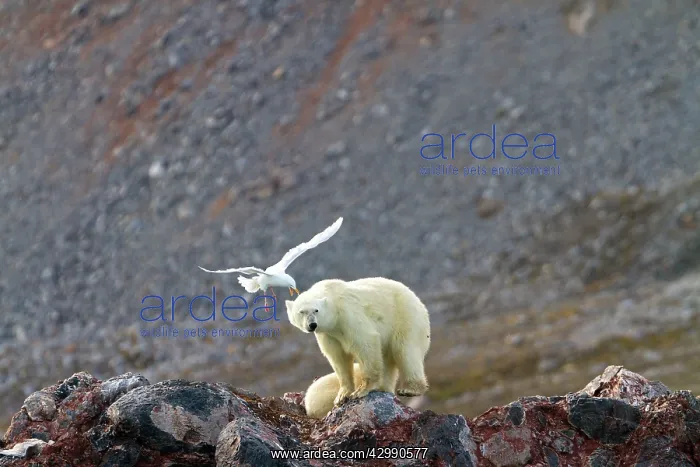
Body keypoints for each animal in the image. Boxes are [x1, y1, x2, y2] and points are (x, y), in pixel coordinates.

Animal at [286, 277, 431, 408]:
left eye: (316, 310)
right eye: (301, 312)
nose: (312, 325)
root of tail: (418, 301)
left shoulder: (347, 314)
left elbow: (365, 341)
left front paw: (361, 390)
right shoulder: (328, 334)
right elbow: (338, 358)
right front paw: (341, 396)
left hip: (406, 318)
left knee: (405, 350)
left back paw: (410, 389)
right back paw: (384, 387)